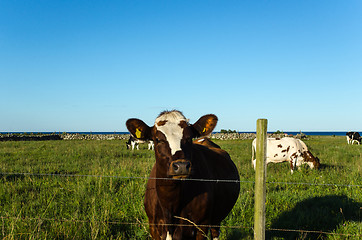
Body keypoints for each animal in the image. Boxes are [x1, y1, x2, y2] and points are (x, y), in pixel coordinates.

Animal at [125, 110, 240, 240]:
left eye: (189, 138)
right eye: (158, 139)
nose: (181, 166)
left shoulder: (202, 226)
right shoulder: (153, 227)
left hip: (216, 218)